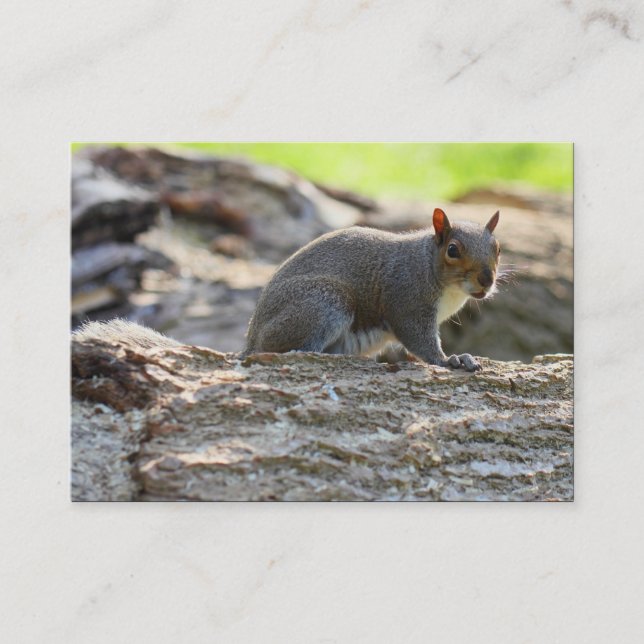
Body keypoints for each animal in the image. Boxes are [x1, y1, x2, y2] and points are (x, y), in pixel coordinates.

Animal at [243, 208, 501, 372]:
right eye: (452, 250)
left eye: (497, 248)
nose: (486, 279)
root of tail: (251, 339)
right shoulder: (407, 301)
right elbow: (419, 340)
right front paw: (449, 360)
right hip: (325, 302)